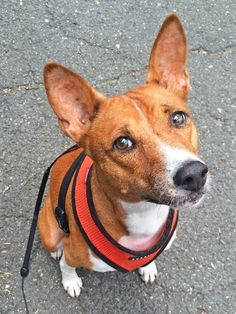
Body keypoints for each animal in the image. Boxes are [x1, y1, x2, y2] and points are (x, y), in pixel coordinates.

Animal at [37, 14, 209, 296]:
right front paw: (70, 281)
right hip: (49, 230)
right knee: (56, 248)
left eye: (178, 118)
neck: (145, 214)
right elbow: (66, 266)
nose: (194, 175)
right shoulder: (73, 253)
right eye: (123, 143)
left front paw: (147, 266)